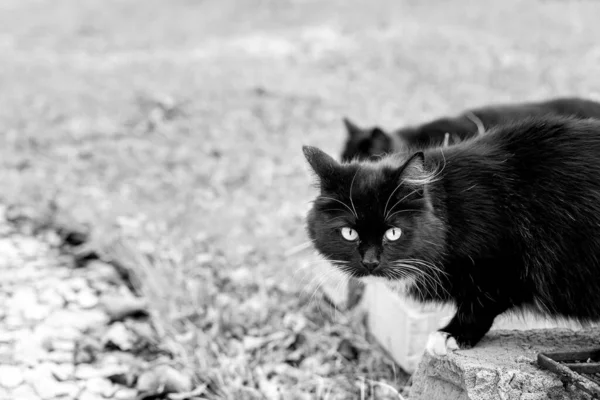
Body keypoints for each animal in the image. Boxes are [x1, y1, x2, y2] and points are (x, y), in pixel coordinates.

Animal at [304, 115, 600, 356]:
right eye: (349, 232)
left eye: (393, 232)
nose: (370, 261)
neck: (453, 210)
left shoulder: (507, 263)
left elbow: (482, 302)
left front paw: (452, 334)